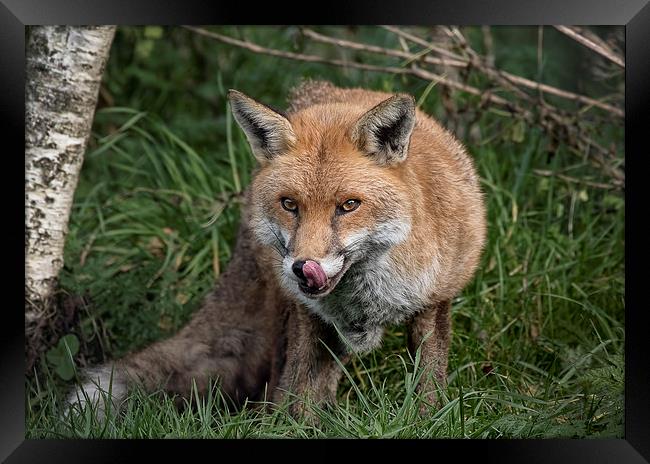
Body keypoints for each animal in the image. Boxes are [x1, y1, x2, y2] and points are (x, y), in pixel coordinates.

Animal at [69, 80, 486, 416]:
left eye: (349, 205)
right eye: (289, 204)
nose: (303, 267)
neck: (367, 299)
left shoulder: (433, 302)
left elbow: (428, 387)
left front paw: (427, 420)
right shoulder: (309, 314)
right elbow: (299, 392)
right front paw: (293, 427)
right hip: (293, 317)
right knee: (286, 378)